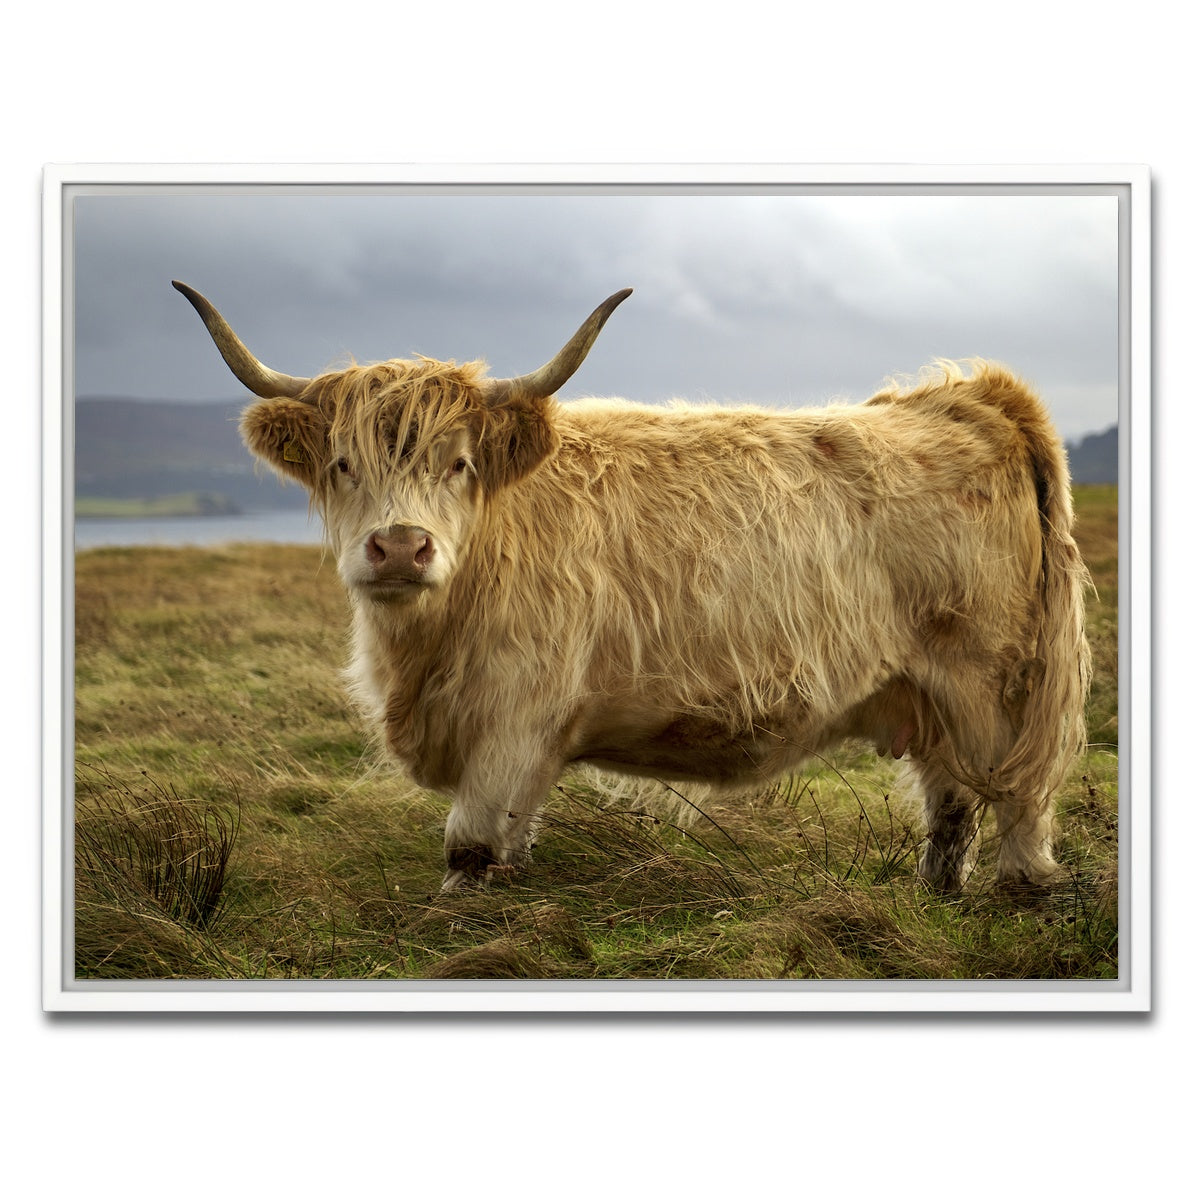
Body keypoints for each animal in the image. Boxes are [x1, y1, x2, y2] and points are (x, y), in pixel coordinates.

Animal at [173, 280, 1092, 893]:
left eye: (460, 463)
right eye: (341, 464)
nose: (400, 547)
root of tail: (970, 395)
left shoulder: (512, 720)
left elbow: (468, 852)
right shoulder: (529, 743)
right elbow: (511, 850)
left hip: (993, 685)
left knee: (1017, 803)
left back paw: (1013, 896)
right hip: (929, 692)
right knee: (951, 805)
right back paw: (933, 899)